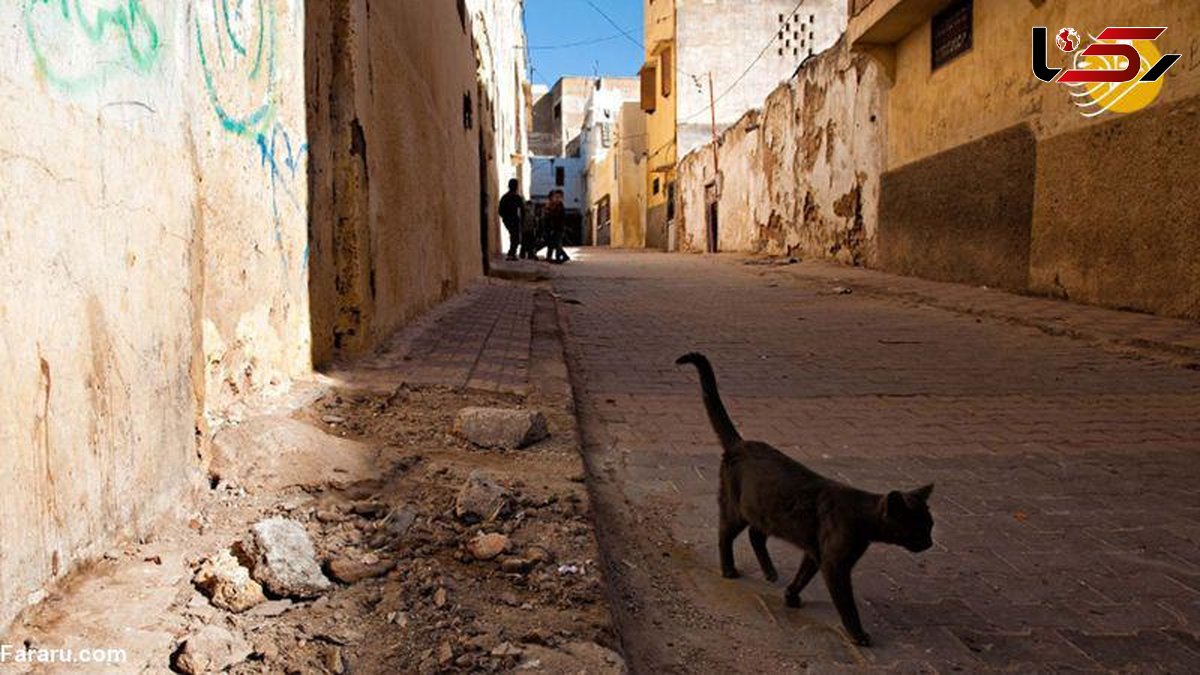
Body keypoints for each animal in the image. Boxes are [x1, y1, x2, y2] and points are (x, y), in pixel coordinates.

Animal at [676, 348, 936, 643]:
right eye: (919, 527)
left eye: (930, 525)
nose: (930, 543)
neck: (861, 515)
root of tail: (740, 443)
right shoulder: (834, 565)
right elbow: (847, 604)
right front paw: (858, 635)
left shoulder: (814, 553)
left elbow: (802, 576)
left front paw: (790, 596)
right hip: (736, 509)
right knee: (725, 534)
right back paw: (729, 570)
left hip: (765, 510)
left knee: (756, 535)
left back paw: (770, 571)